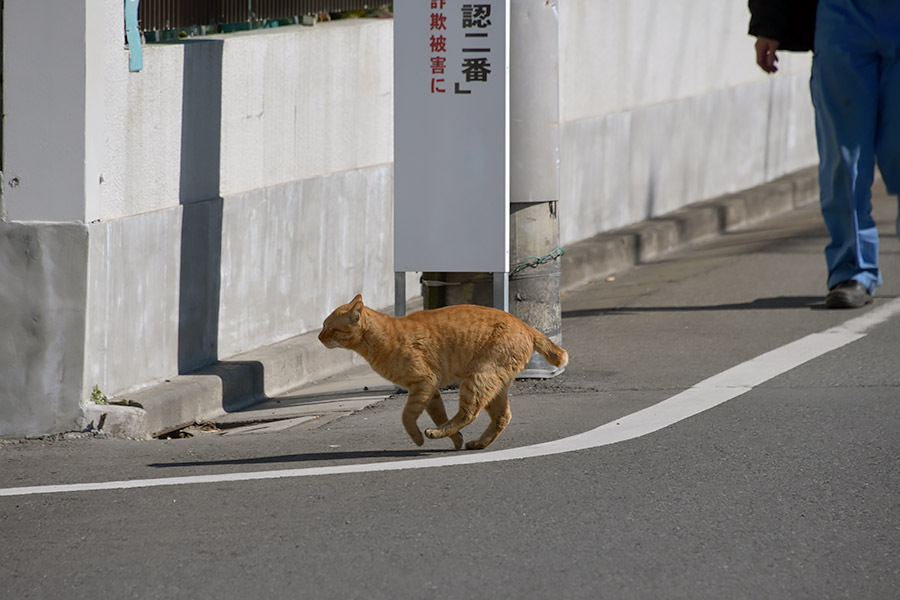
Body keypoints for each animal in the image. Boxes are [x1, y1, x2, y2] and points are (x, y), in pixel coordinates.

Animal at [320, 296, 568, 450]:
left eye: (330, 328)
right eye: (322, 327)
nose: (319, 337)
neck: (381, 338)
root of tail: (525, 325)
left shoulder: (424, 383)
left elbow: (407, 416)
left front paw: (419, 438)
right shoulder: (429, 390)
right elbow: (438, 414)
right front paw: (455, 439)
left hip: (477, 379)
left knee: (469, 413)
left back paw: (435, 434)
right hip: (494, 385)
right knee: (502, 417)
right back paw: (476, 443)